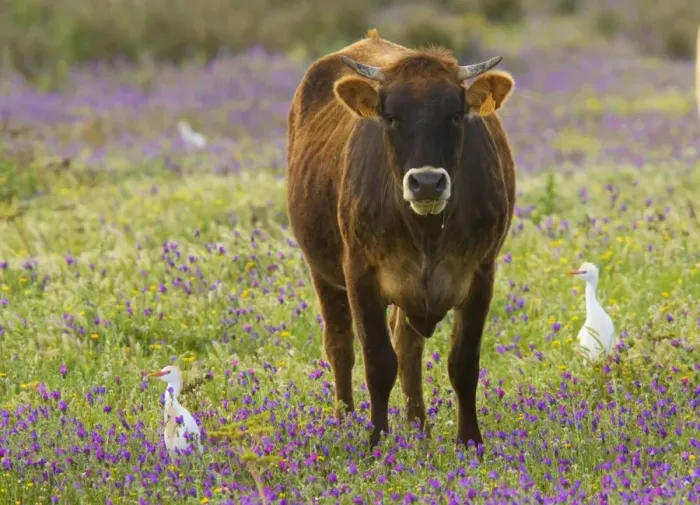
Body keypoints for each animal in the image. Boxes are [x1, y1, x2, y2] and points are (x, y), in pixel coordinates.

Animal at [286, 28, 516, 451]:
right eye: (391, 117)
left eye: (454, 116)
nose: (426, 181)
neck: (427, 231)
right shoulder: (360, 274)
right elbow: (378, 361)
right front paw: (376, 441)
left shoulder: (481, 273)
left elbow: (463, 363)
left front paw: (470, 443)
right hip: (322, 271)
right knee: (340, 346)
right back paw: (344, 421)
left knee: (409, 350)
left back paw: (418, 427)